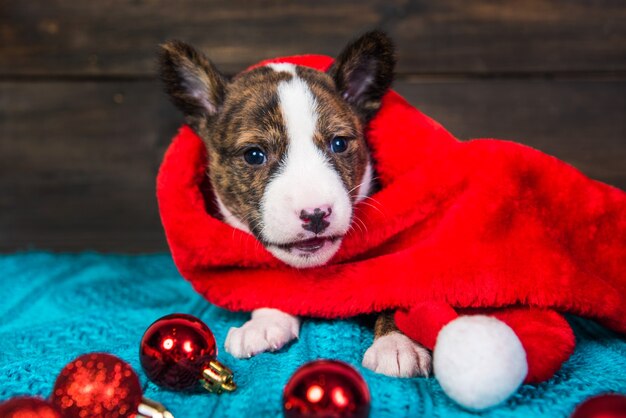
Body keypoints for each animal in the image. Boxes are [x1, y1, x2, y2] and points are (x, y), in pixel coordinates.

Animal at [157, 31, 428, 378]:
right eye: (254, 155)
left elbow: (403, 288)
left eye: (339, 143)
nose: (316, 215)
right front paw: (266, 321)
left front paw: (397, 343)